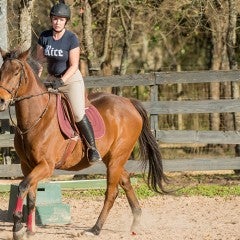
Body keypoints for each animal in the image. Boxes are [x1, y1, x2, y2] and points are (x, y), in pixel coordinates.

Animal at [0, 47, 167, 239]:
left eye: (16, 72)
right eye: (1, 71)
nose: (1, 100)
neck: (36, 119)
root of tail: (128, 102)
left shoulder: (46, 166)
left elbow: (22, 187)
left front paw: (18, 228)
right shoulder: (27, 166)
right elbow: (31, 195)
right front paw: (29, 230)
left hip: (117, 157)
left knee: (111, 192)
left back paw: (95, 229)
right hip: (112, 158)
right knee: (125, 181)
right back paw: (136, 222)